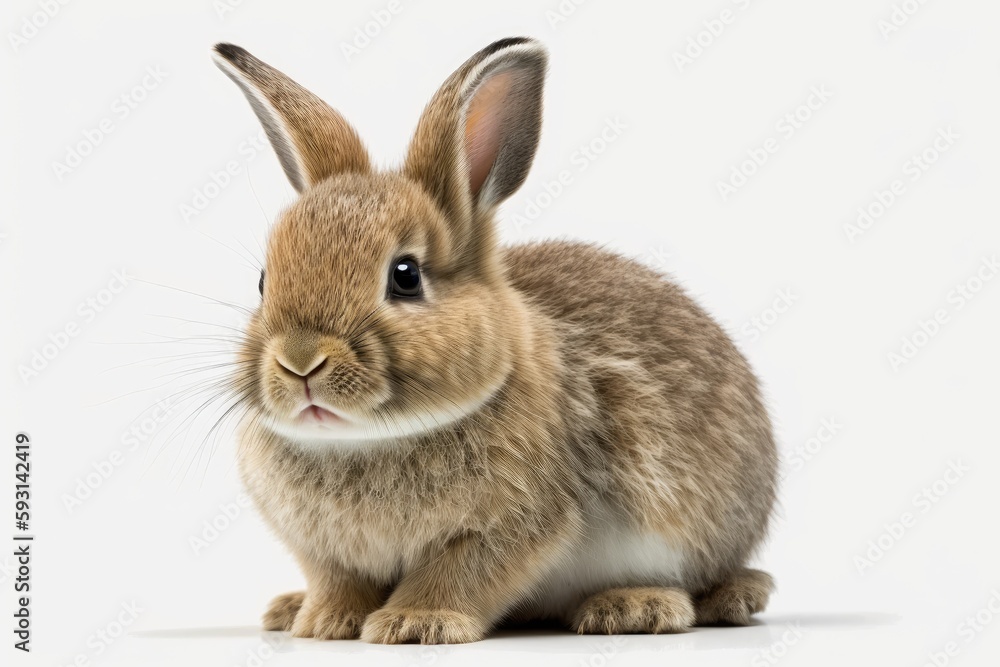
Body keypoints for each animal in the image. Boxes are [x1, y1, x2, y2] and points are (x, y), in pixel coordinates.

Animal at [211, 36, 778, 644]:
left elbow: (460, 573)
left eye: (405, 275)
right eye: (263, 282)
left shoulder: (515, 525)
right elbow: (339, 580)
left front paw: (415, 623)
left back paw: (637, 607)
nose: (300, 361)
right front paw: (325, 623)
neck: (367, 440)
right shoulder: (324, 551)